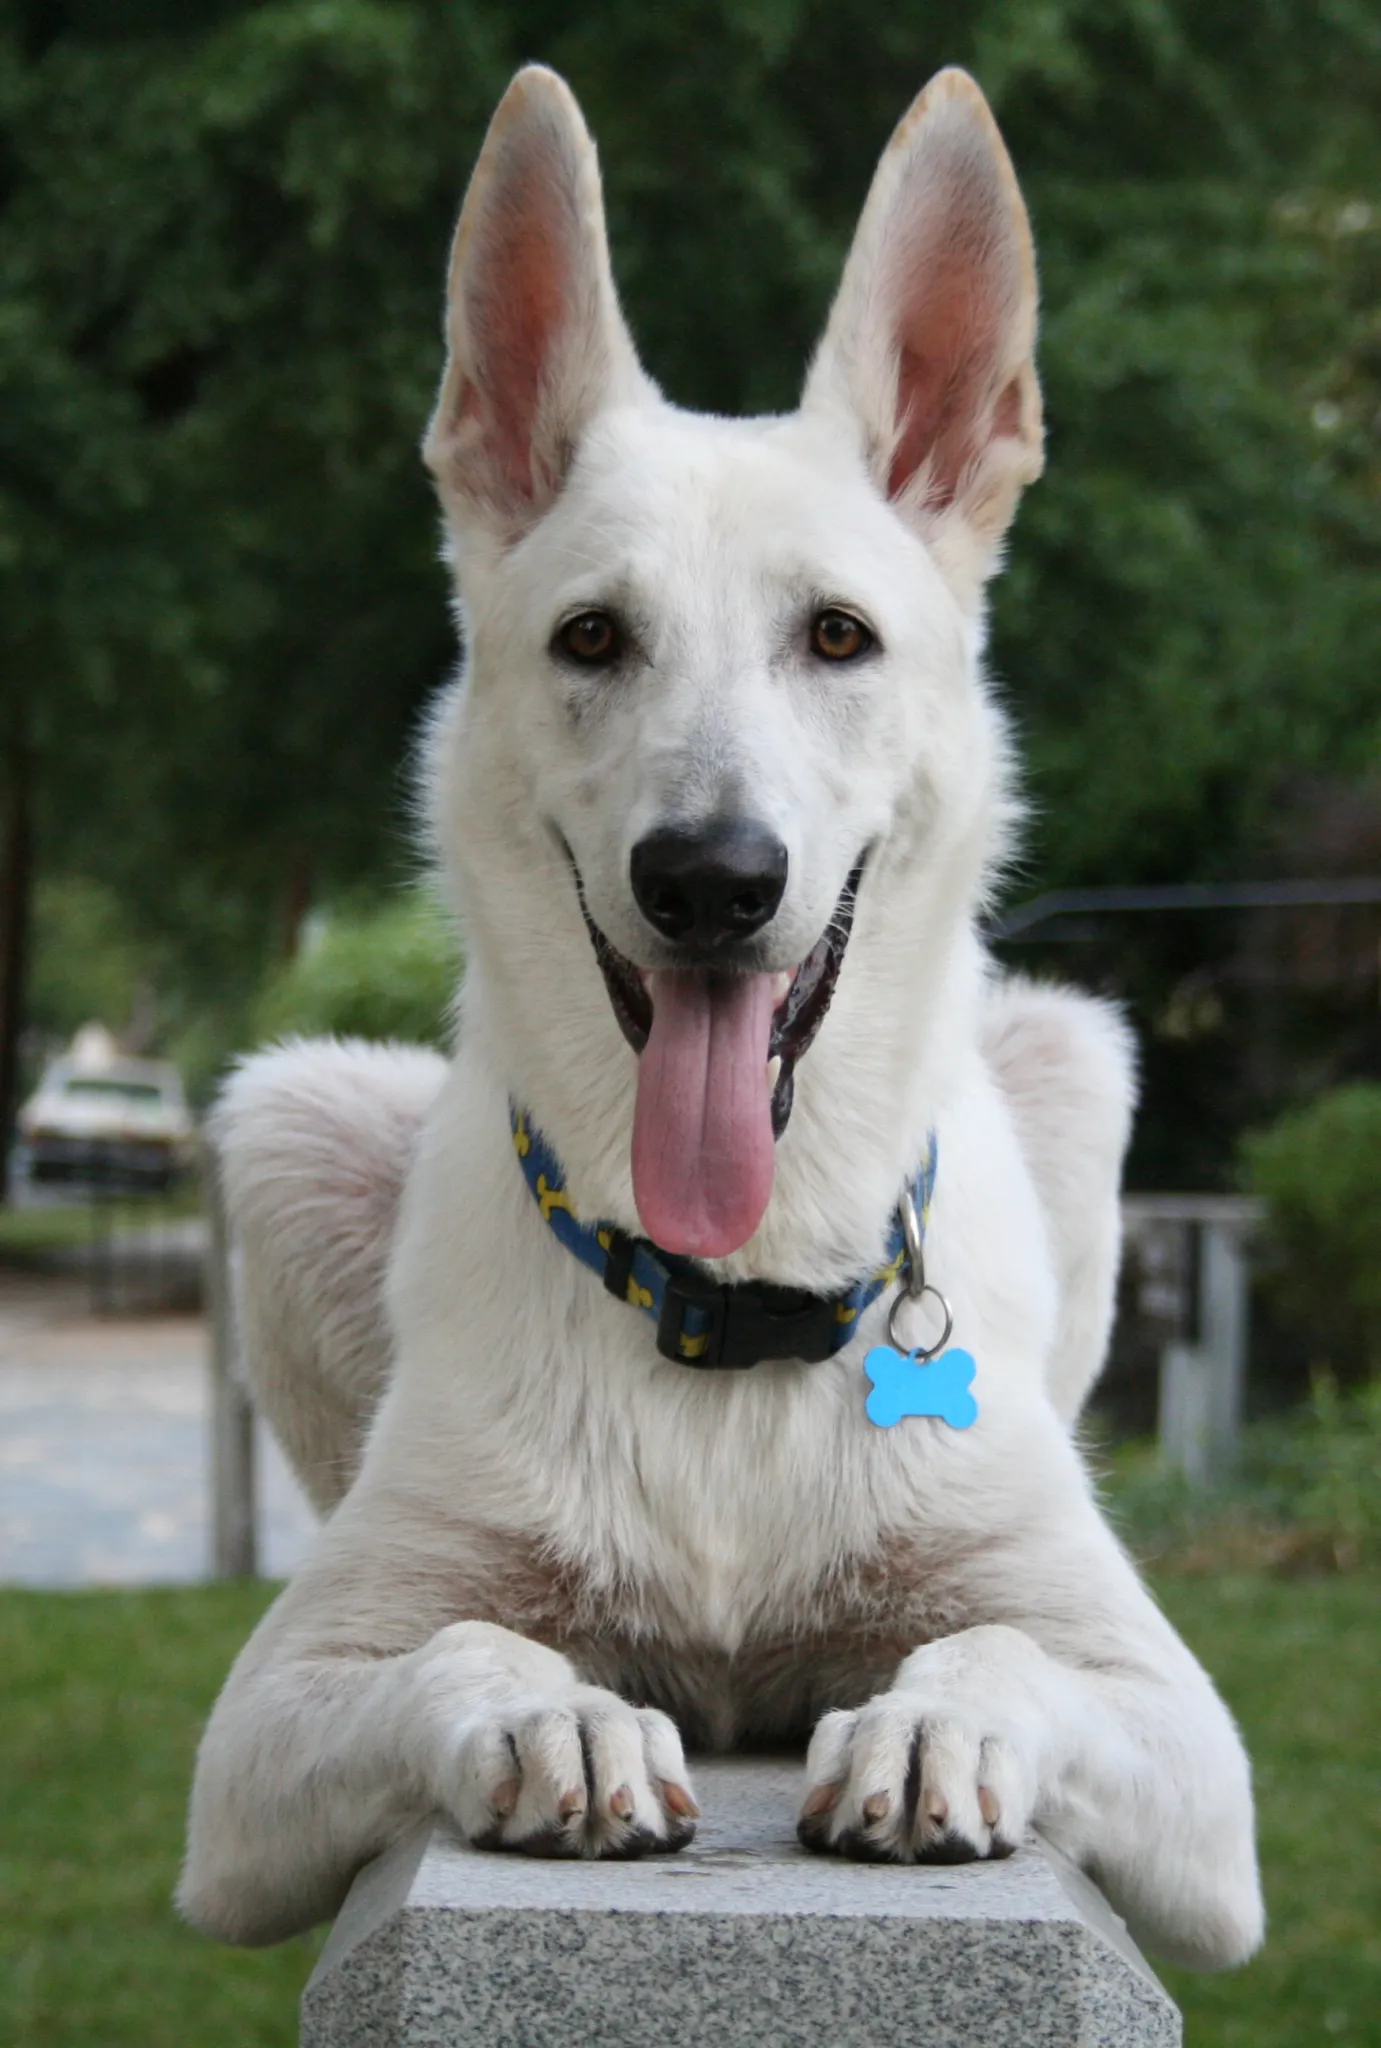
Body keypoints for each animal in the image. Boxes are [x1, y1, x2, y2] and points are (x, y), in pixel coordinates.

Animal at [180, 64, 1262, 1966]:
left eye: (837, 636)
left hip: (1076, 1053)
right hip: (291, 1116)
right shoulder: (262, 1734)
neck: (732, 1309)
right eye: (591, 639)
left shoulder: (1184, 1749)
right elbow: (470, 1640)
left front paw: (930, 1726)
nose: (709, 880)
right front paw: (558, 1715)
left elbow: (996, 1646)